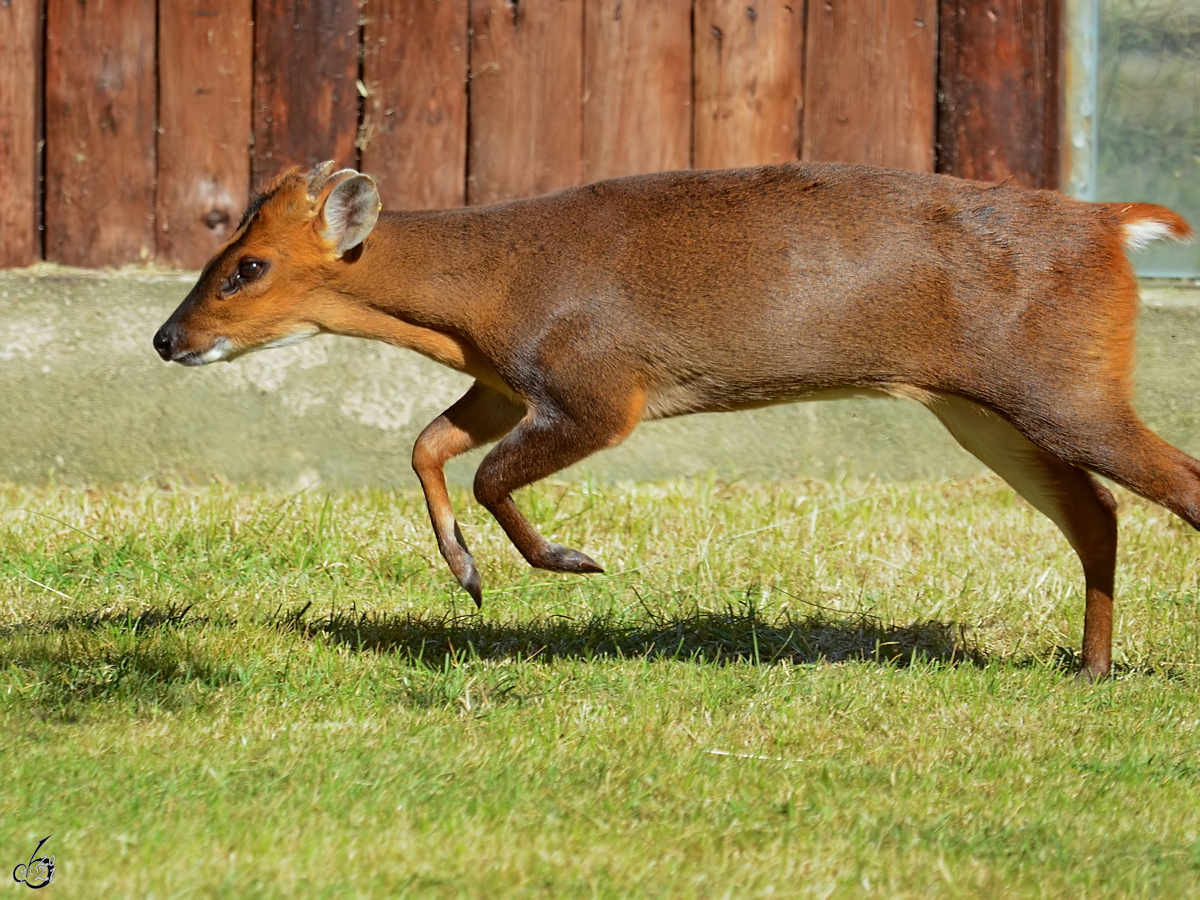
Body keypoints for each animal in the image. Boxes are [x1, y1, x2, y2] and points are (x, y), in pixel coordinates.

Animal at [154, 162, 1195, 681]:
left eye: (247, 266)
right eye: (221, 251)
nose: (167, 338)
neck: (484, 296)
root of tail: (1111, 222)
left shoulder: (600, 386)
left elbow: (487, 472)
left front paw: (569, 560)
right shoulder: (507, 386)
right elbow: (427, 444)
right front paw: (466, 572)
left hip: (1060, 387)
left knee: (1173, 483)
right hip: (990, 407)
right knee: (1097, 512)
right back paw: (1090, 667)